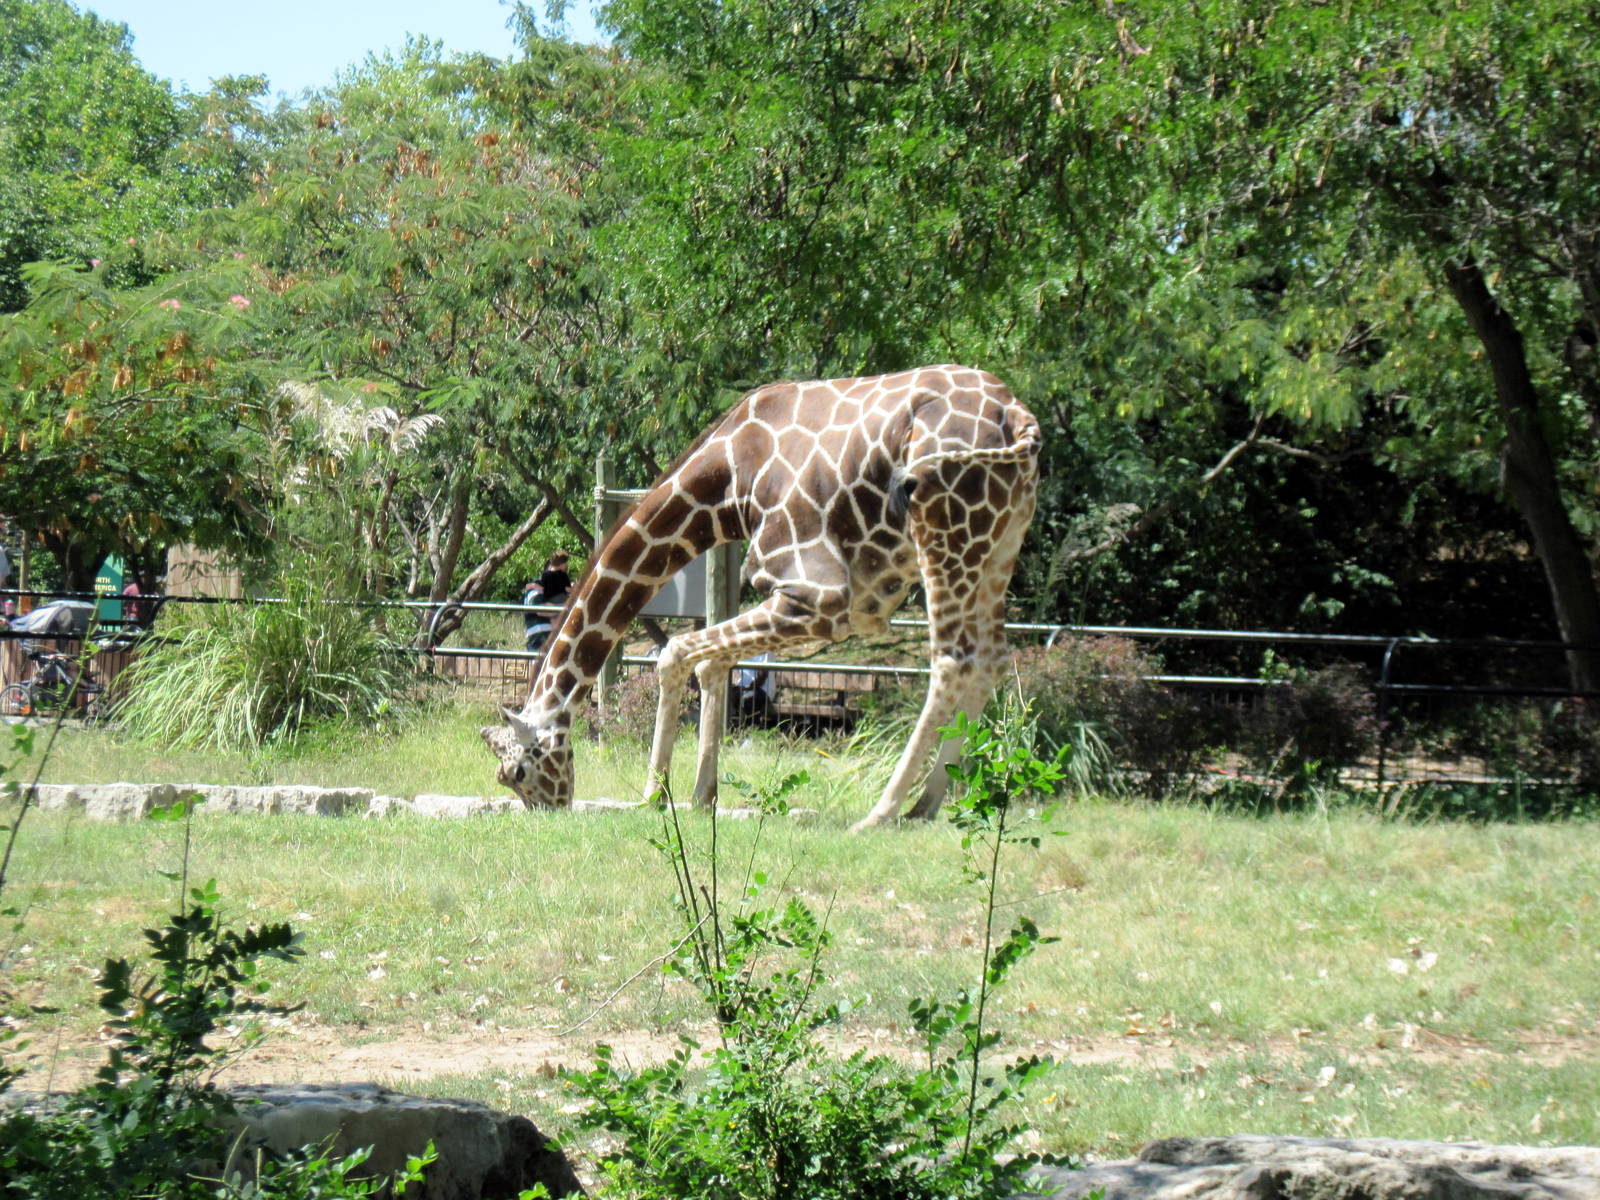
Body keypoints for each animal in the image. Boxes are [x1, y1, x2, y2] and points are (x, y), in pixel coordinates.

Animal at [482, 364, 1041, 830]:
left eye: (517, 772)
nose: (552, 810)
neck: (729, 478)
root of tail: (1018, 415)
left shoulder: (818, 599)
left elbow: (674, 654)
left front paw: (653, 795)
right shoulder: (842, 607)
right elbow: (711, 663)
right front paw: (699, 795)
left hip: (945, 532)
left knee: (952, 658)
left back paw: (881, 813)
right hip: (1000, 544)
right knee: (991, 658)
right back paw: (926, 805)